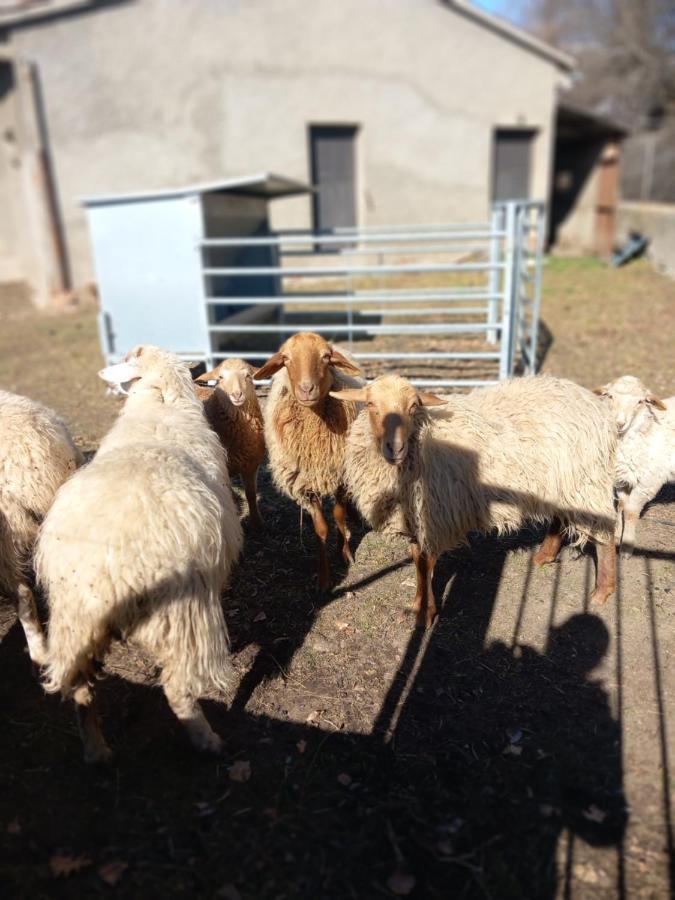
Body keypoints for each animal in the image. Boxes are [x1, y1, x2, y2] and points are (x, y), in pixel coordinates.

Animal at [35, 344, 243, 760]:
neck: (159, 401)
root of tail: (100, 576)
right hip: (183, 616)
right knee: (177, 688)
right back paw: (208, 740)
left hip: (73, 624)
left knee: (82, 693)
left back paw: (96, 750)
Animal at [254, 334, 364, 596]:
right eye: (285, 359)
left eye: (326, 357)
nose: (306, 389)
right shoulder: (306, 483)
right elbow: (321, 529)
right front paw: (323, 578)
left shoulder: (339, 475)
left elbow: (338, 514)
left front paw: (345, 552)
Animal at [332, 372, 616, 624]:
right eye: (371, 404)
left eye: (413, 406)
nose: (396, 448)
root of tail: (590, 400)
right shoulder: (414, 519)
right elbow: (417, 562)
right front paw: (417, 604)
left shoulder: (436, 517)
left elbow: (426, 564)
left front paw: (426, 613)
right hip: (562, 482)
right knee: (559, 518)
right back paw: (544, 557)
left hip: (586, 479)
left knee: (606, 533)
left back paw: (603, 591)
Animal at [596, 374, 672, 556]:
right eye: (610, 396)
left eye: (640, 401)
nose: (619, 423)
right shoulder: (622, 478)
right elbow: (621, 506)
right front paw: (617, 536)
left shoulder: (649, 482)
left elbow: (631, 511)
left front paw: (627, 546)